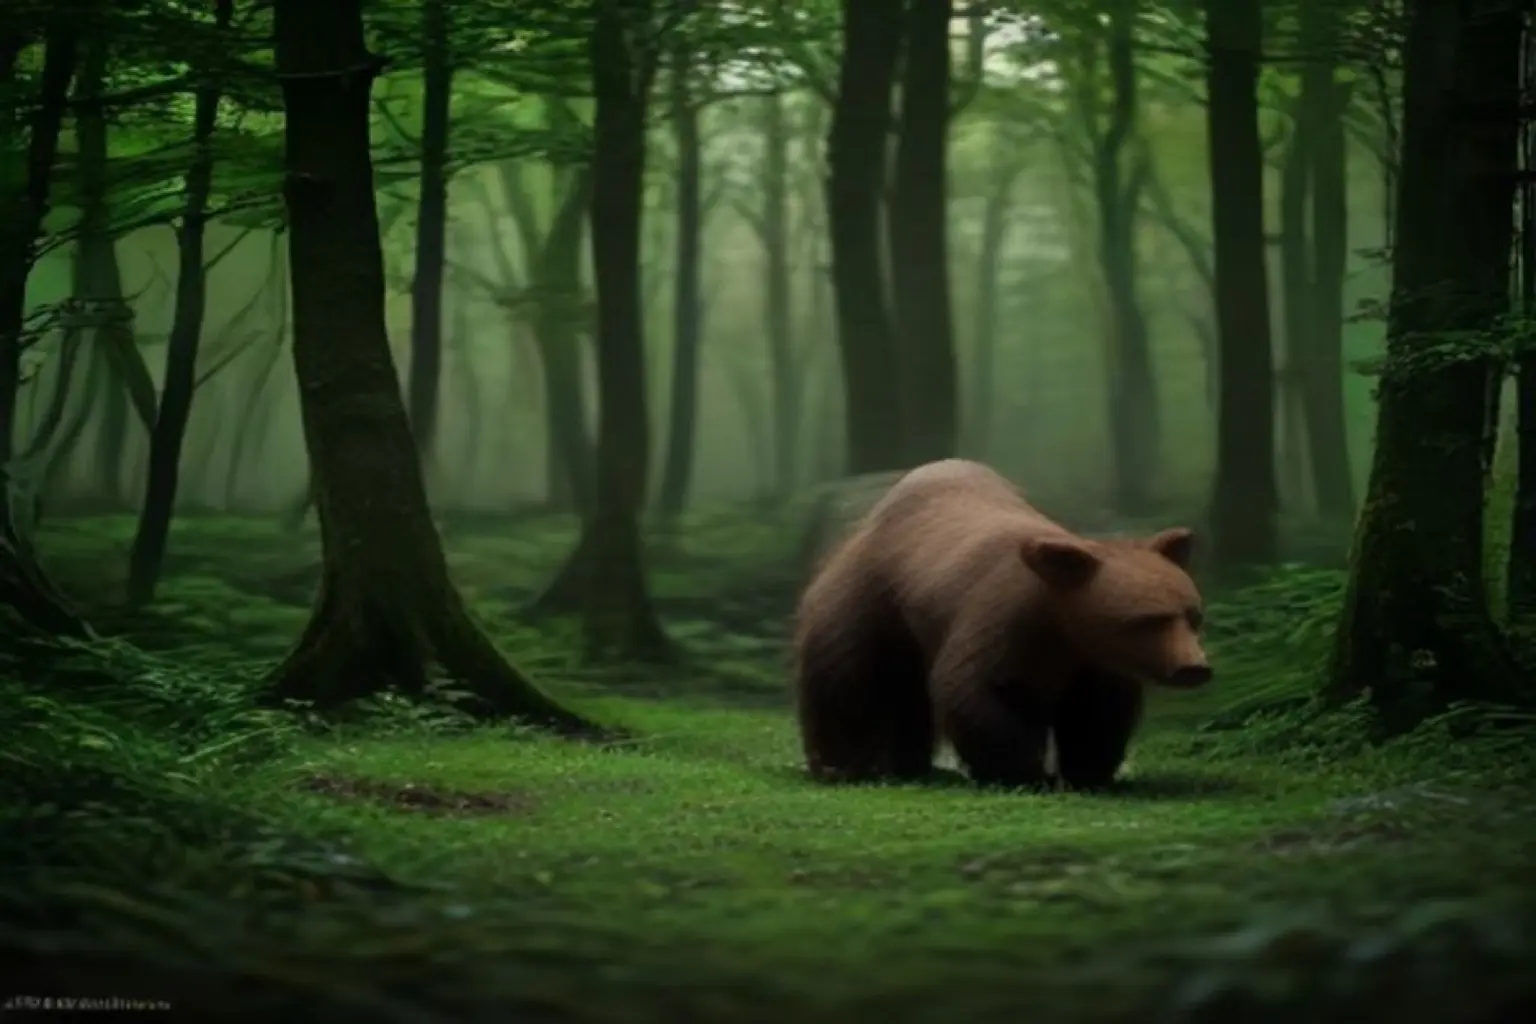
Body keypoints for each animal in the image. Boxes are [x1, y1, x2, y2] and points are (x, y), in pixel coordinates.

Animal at [791, 458, 1212, 790]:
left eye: (1192, 615)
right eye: (1150, 619)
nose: (1195, 667)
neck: (1062, 623)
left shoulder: (1094, 662)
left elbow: (1097, 712)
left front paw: (1086, 772)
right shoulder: (1002, 622)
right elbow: (982, 691)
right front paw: (1026, 772)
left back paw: (908, 763)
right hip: (871, 598)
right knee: (847, 675)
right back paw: (846, 765)